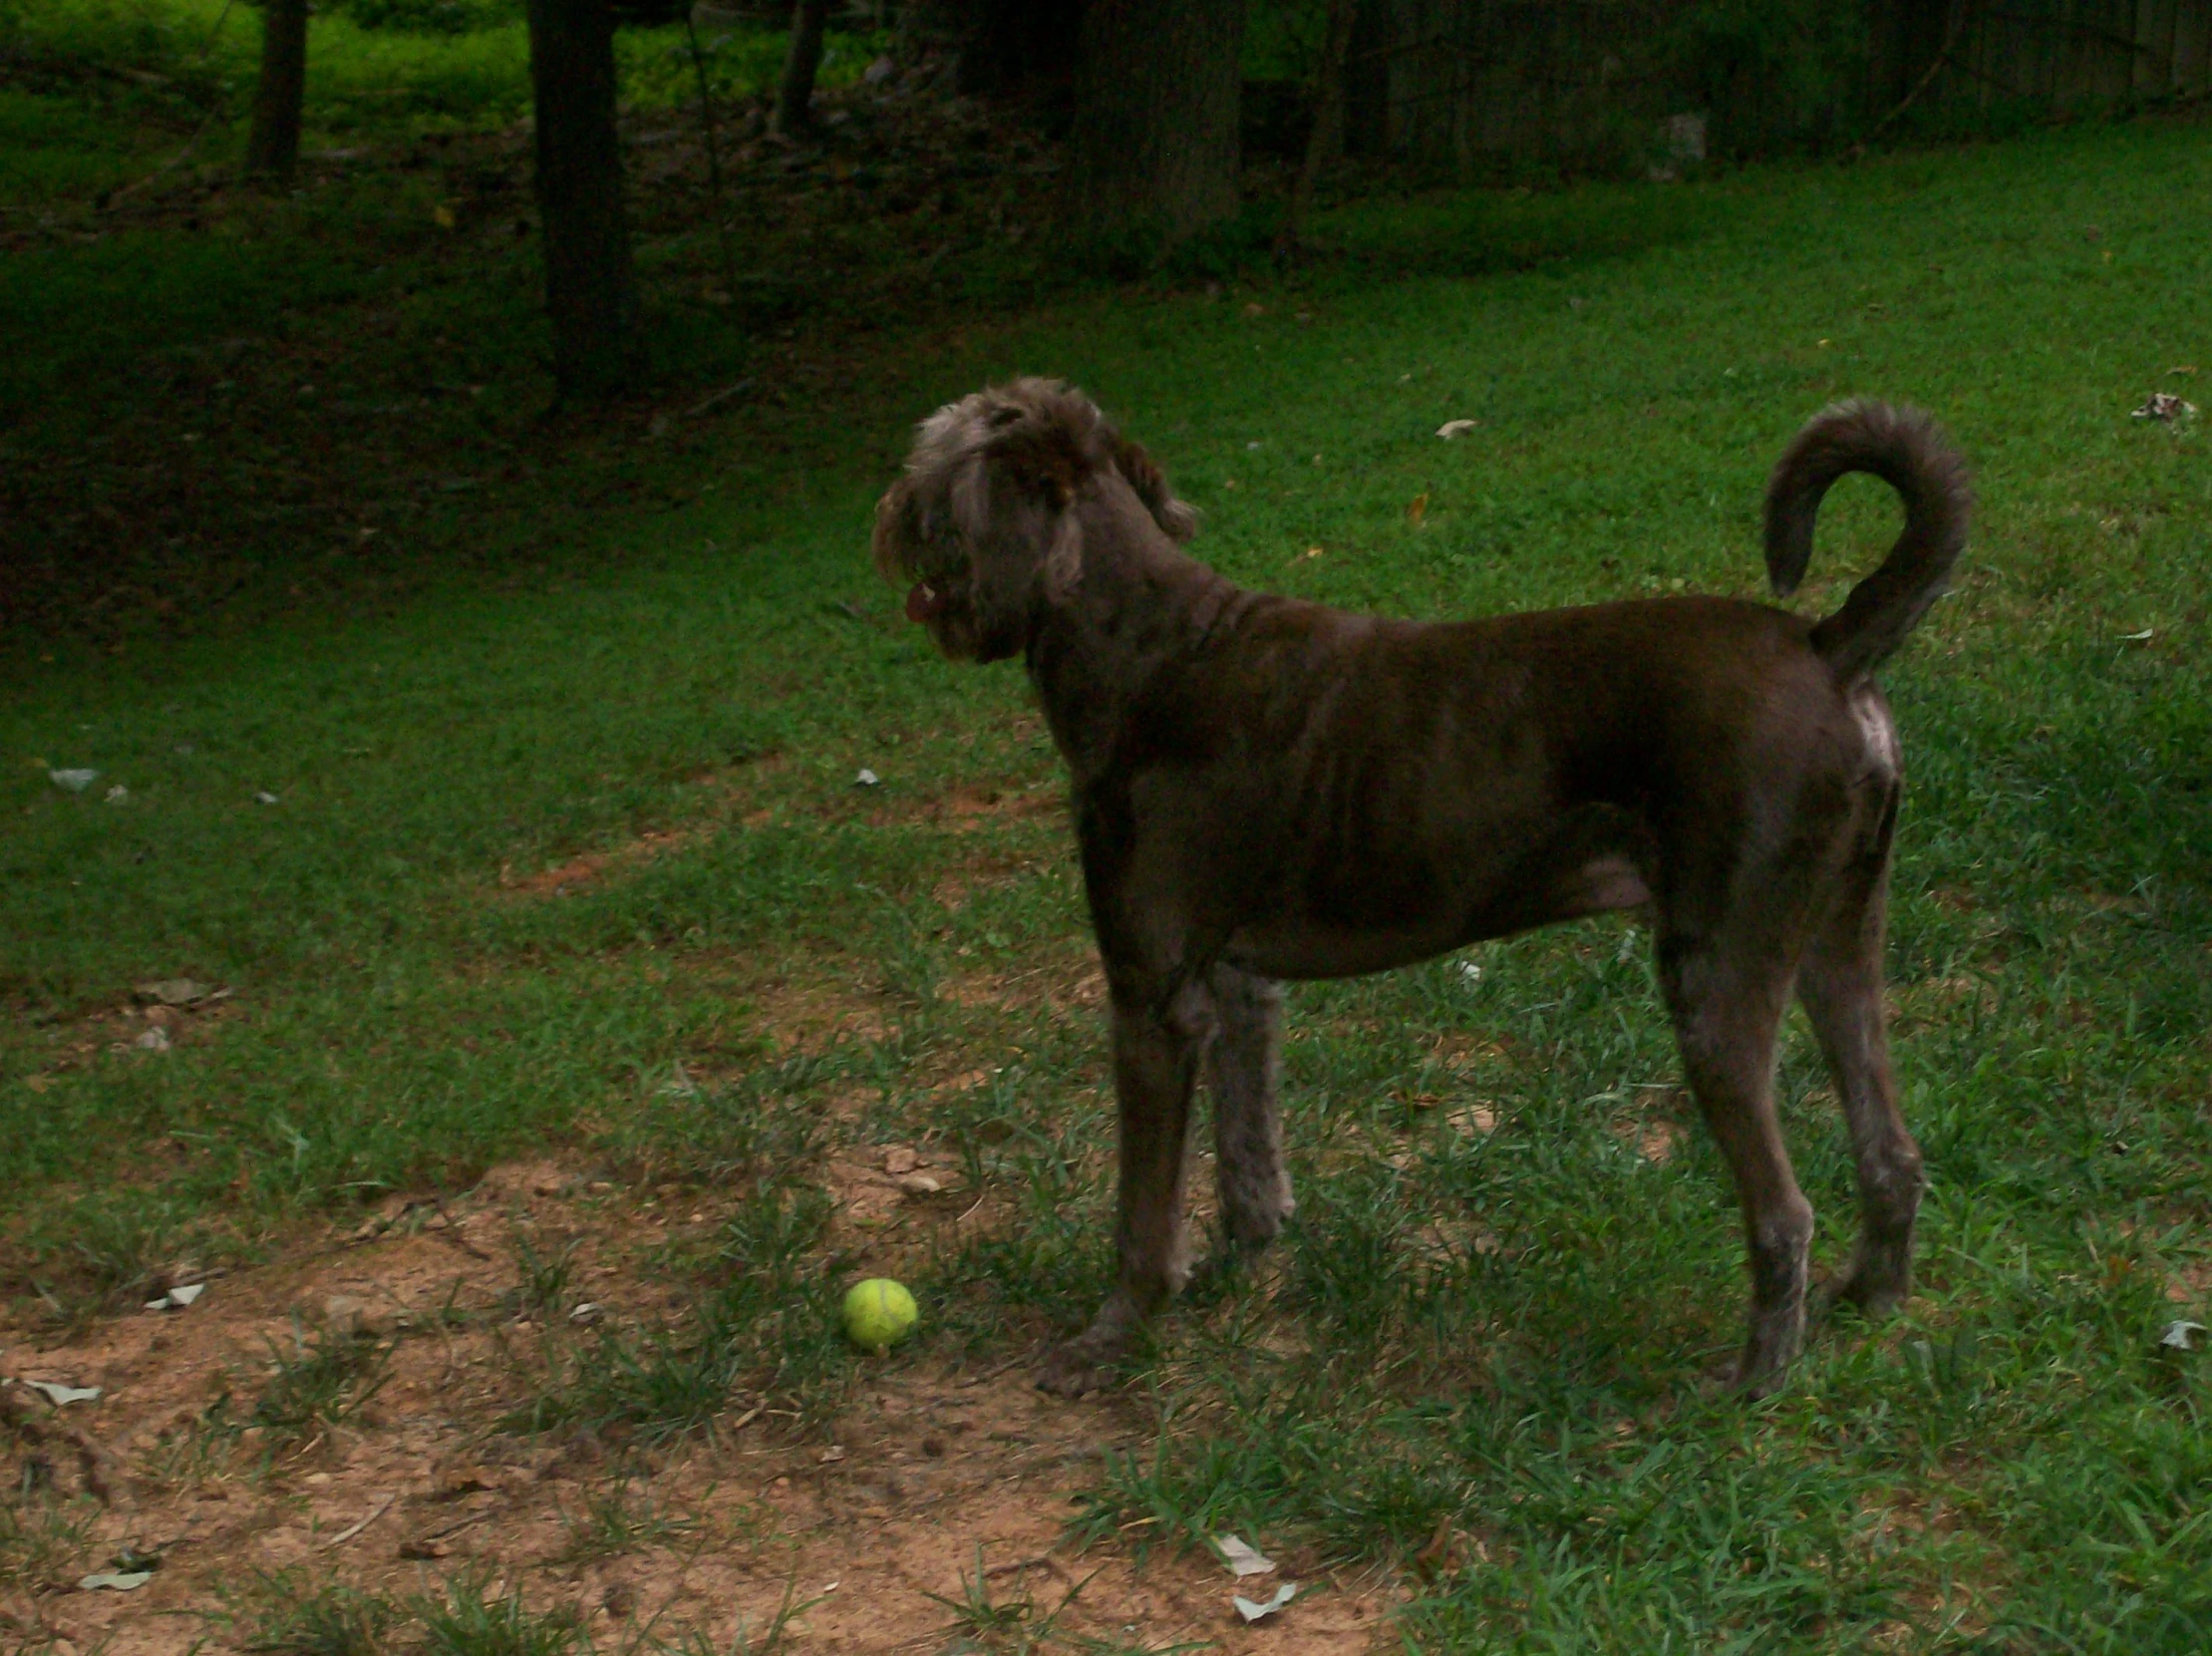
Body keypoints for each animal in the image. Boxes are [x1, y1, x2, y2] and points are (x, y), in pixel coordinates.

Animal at [871, 378, 1964, 1397]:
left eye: (930, 462)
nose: (884, 516)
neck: (1142, 645)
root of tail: (1826, 646)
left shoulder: (1150, 997)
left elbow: (1142, 1208)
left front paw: (1112, 1337)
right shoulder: (1236, 987)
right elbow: (1245, 1152)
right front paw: (1238, 1266)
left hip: (1715, 976)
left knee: (1784, 1209)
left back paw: (1753, 1380)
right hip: (1835, 938)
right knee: (1890, 1150)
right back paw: (1870, 1298)